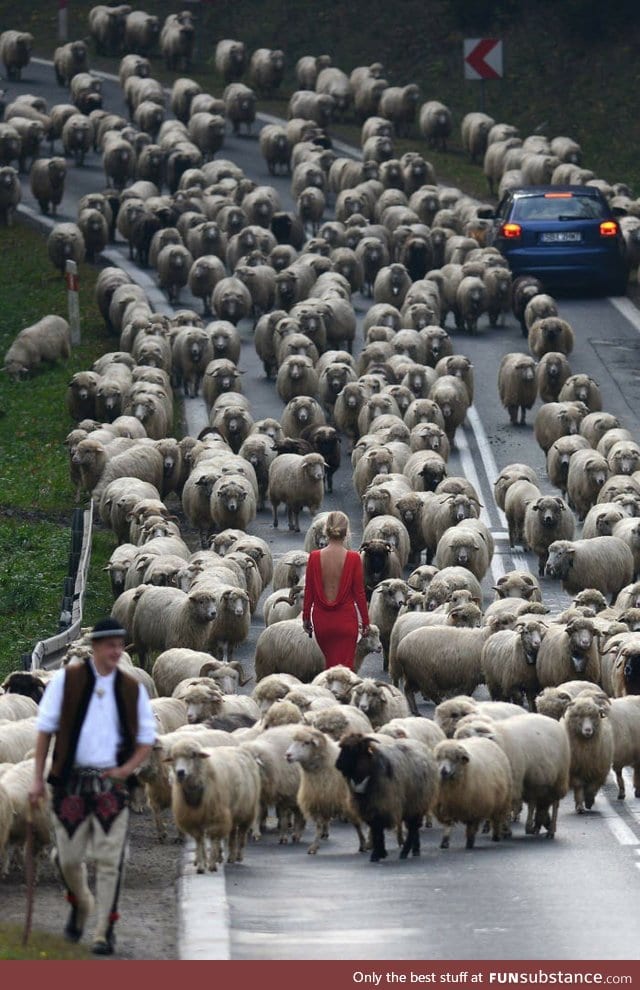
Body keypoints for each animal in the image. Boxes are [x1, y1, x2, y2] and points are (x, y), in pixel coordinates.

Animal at [169, 740, 262, 872]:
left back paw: (238, 856)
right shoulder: (194, 819)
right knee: (232, 833)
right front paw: (202, 865)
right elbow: (200, 841)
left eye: (193, 755)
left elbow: (213, 839)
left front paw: (211, 864)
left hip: (247, 811)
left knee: (241, 834)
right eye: (173, 758)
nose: (180, 772)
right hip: (232, 812)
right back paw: (230, 857)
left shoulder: (217, 816)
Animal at [284, 724, 364, 856]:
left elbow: (357, 824)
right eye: (293, 740)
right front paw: (314, 846)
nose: (287, 755)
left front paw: (363, 844)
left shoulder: (348, 802)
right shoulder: (319, 799)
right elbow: (319, 825)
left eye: (306, 742)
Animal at [336, 732, 440, 864]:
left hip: (418, 801)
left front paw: (377, 854)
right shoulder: (368, 808)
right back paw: (415, 850)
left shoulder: (383, 805)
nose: (338, 765)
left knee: (412, 828)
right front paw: (381, 852)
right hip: (412, 805)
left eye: (354, 749)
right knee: (414, 828)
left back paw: (405, 852)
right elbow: (376, 831)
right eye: (342, 747)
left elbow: (378, 831)